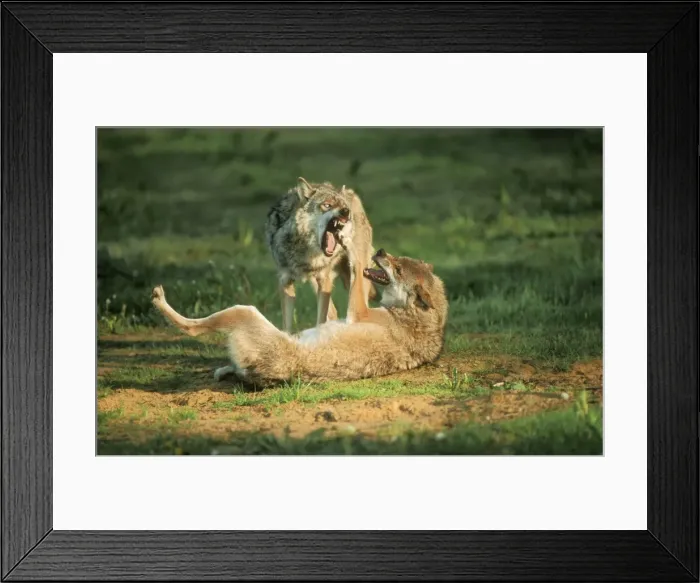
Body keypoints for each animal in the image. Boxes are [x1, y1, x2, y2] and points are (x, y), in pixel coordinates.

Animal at [150, 243, 448, 386]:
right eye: (398, 260)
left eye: (397, 269)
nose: (382, 251)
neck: (406, 315)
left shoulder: (357, 311)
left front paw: (352, 246)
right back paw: (225, 369)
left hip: (244, 311)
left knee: (192, 327)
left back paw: (161, 301)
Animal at [264, 177, 375, 333]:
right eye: (327, 205)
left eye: (344, 206)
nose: (346, 211)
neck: (304, 249)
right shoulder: (285, 281)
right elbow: (286, 326)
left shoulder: (324, 280)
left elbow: (320, 320)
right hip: (317, 283)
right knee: (334, 313)